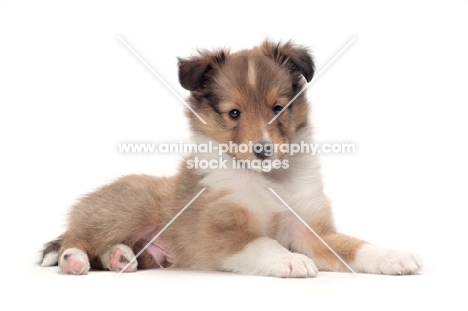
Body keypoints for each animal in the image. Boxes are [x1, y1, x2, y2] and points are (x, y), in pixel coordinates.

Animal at [40, 41, 422, 278]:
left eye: (278, 108)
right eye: (234, 113)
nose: (262, 149)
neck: (267, 179)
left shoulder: (309, 226)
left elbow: (354, 246)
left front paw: (393, 257)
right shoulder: (221, 230)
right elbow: (263, 242)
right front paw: (292, 261)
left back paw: (120, 257)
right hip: (129, 208)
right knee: (77, 236)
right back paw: (74, 260)